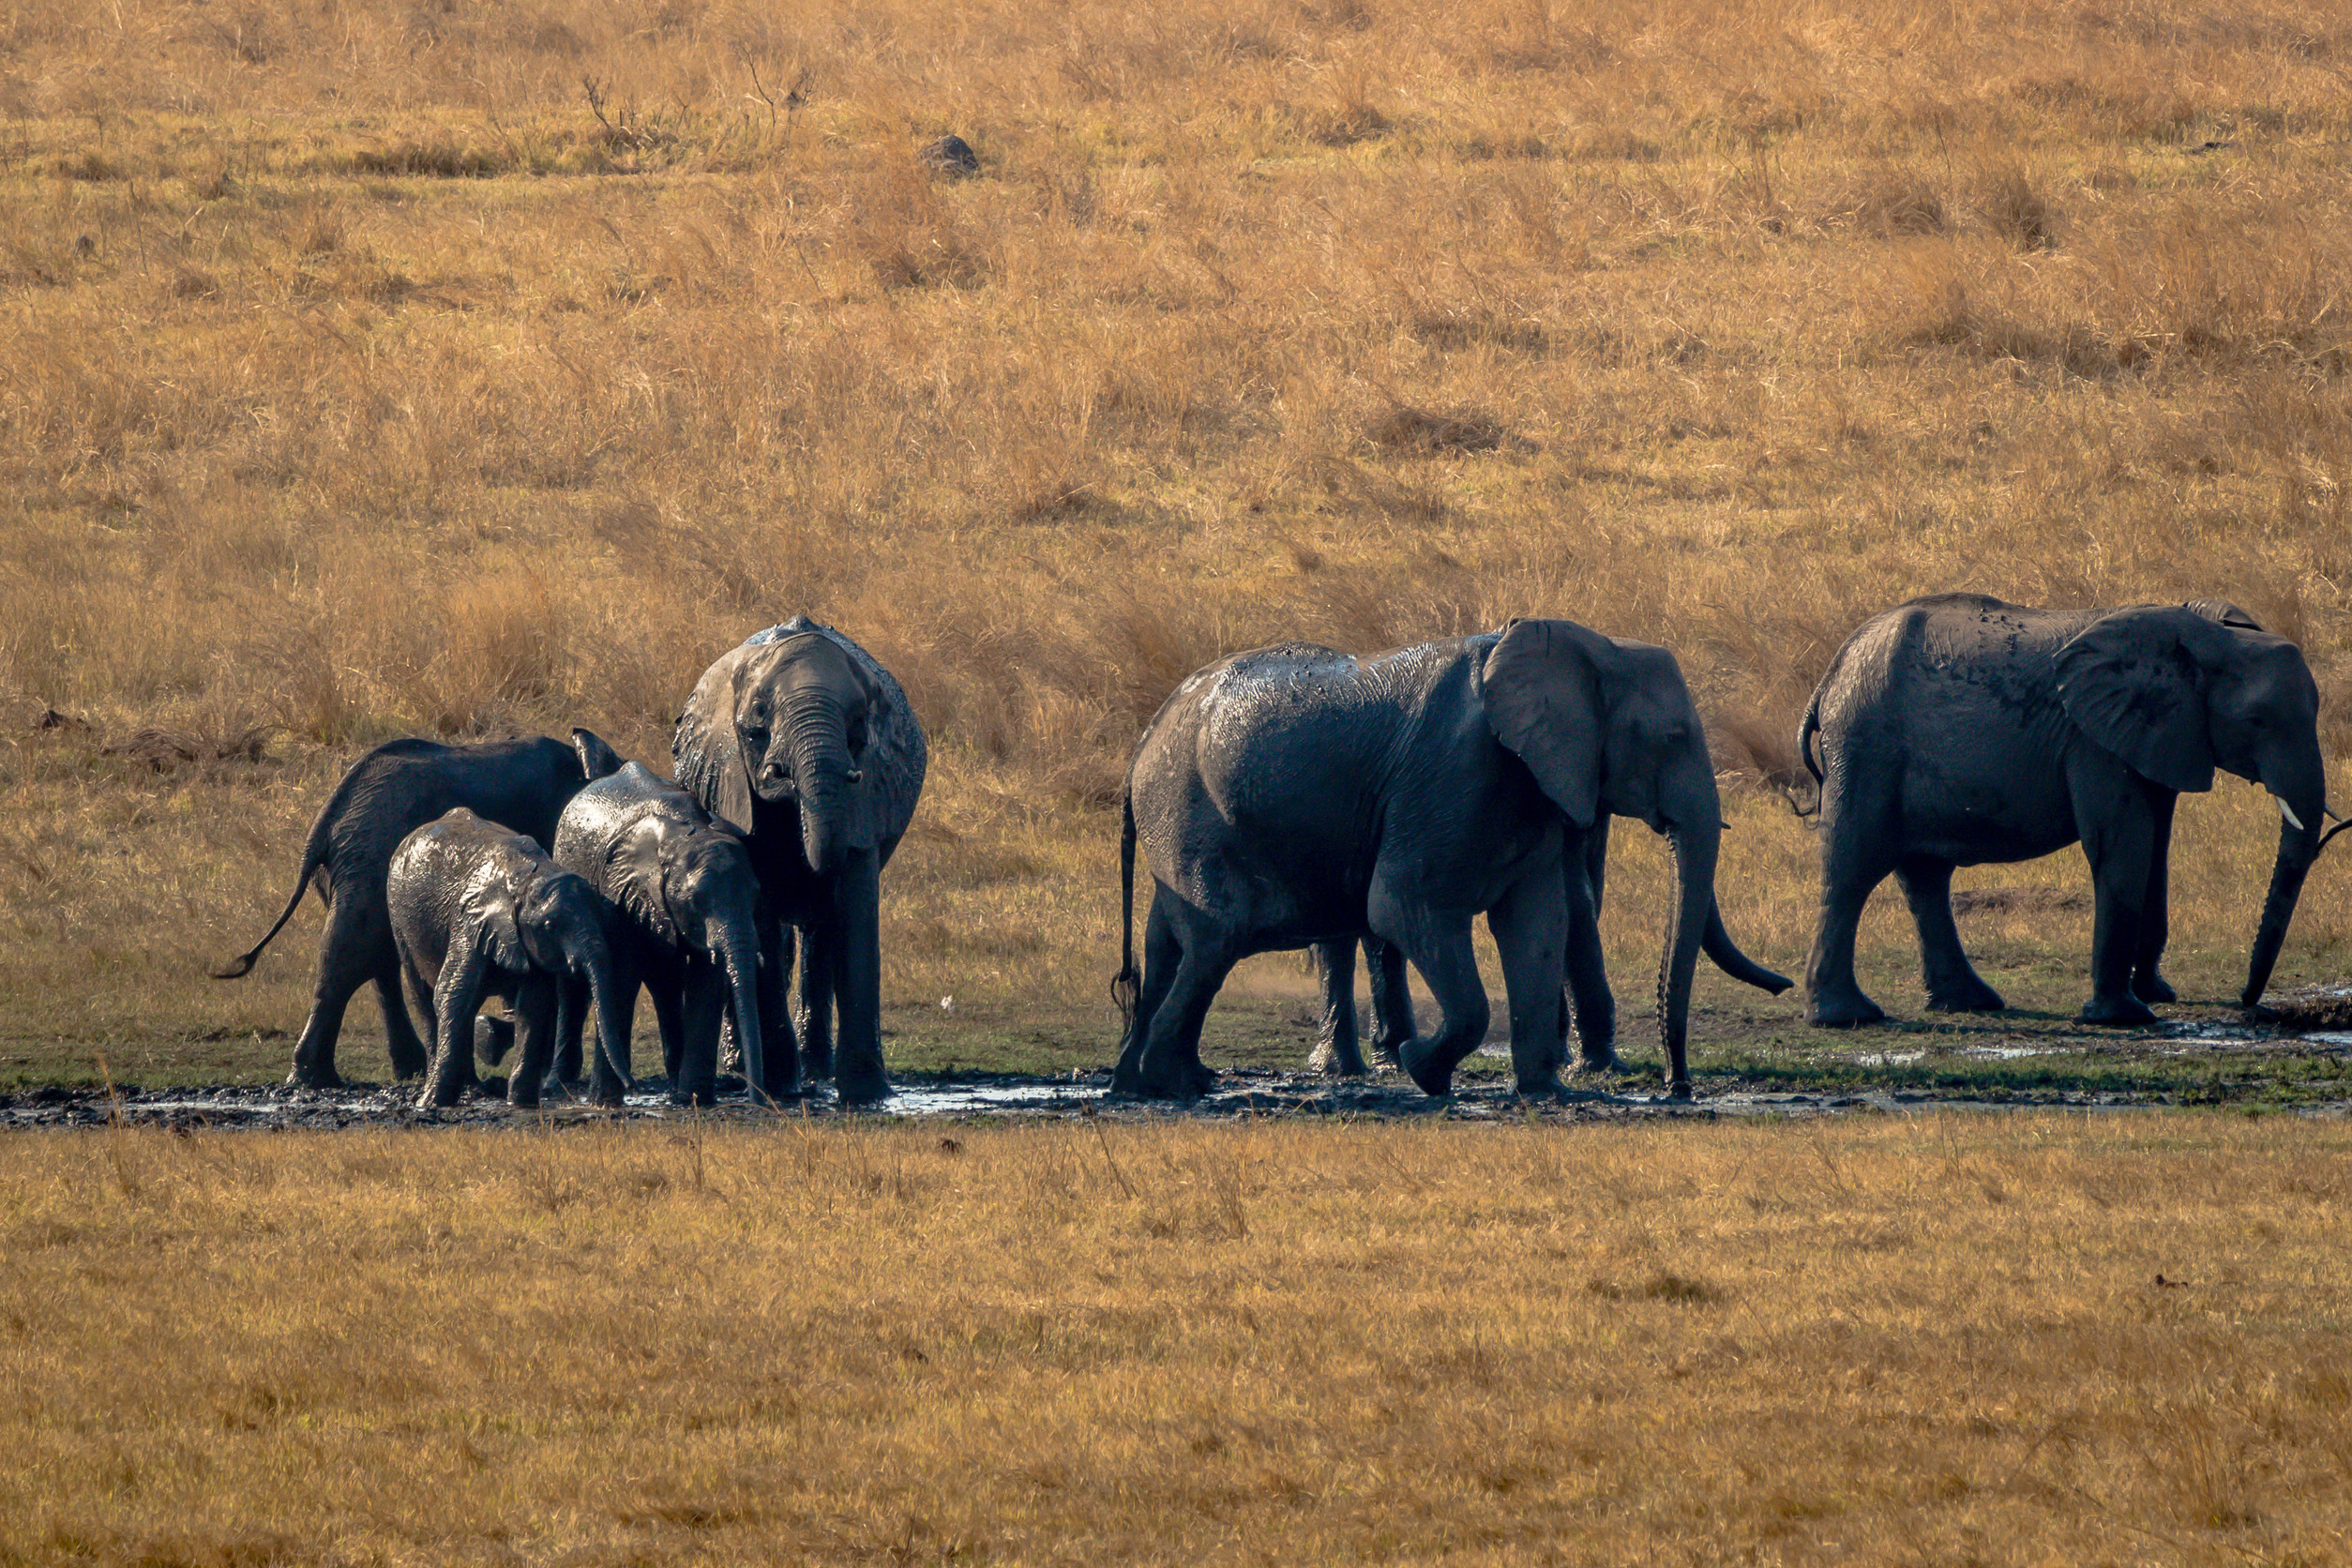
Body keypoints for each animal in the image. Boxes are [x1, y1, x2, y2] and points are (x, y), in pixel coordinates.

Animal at [212, 729, 626, 1086]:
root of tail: (323, 826)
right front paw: (501, 1044)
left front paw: (494, 1039)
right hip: (371, 856)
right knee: (352, 957)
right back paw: (320, 1079)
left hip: (353, 868)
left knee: (371, 959)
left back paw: (394, 1070)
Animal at [390, 808, 640, 1114]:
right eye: (549, 926)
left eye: (604, 920)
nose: (632, 1085)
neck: (527, 878)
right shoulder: (469, 920)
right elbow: (452, 994)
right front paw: (430, 1104)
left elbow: (534, 1006)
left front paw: (521, 1104)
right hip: (399, 921)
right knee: (425, 998)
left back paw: (474, 1084)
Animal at [672, 611, 927, 1105]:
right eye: (757, 719)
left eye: (859, 722)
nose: (780, 776)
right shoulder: (731, 782)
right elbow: (765, 921)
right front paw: (779, 1086)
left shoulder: (868, 793)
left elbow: (855, 915)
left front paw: (866, 1094)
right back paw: (750, 1071)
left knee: (820, 939)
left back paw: (817, 1072)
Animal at [1109, 615, 1787, 1105]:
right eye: (1671, 738)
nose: (1679, 1088)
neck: (1589, 645)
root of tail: (1144, 739)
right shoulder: (1453, 772)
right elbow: (1403, 907)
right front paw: (1422, 1070)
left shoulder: (1530, 786)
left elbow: (1537, 922)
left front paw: (1545, 1091)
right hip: (1190, 810)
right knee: (1215, 940)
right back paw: (1177, 1085)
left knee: (1169, 944)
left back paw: (1140, 1085)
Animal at [1797, 592, 2332, 1029]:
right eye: (2256, 720)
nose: (2246, 1000)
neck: (2206, 634)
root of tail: (1826, 681)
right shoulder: (2092, 739)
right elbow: (2121, 842)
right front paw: (2125, 1017)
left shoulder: (2159, 734)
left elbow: (2156, 850)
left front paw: (2158, 995)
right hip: (1865, 745)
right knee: (1853, 868)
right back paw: (1848, 1018)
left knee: (1925, 876)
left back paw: (1971, 1003)